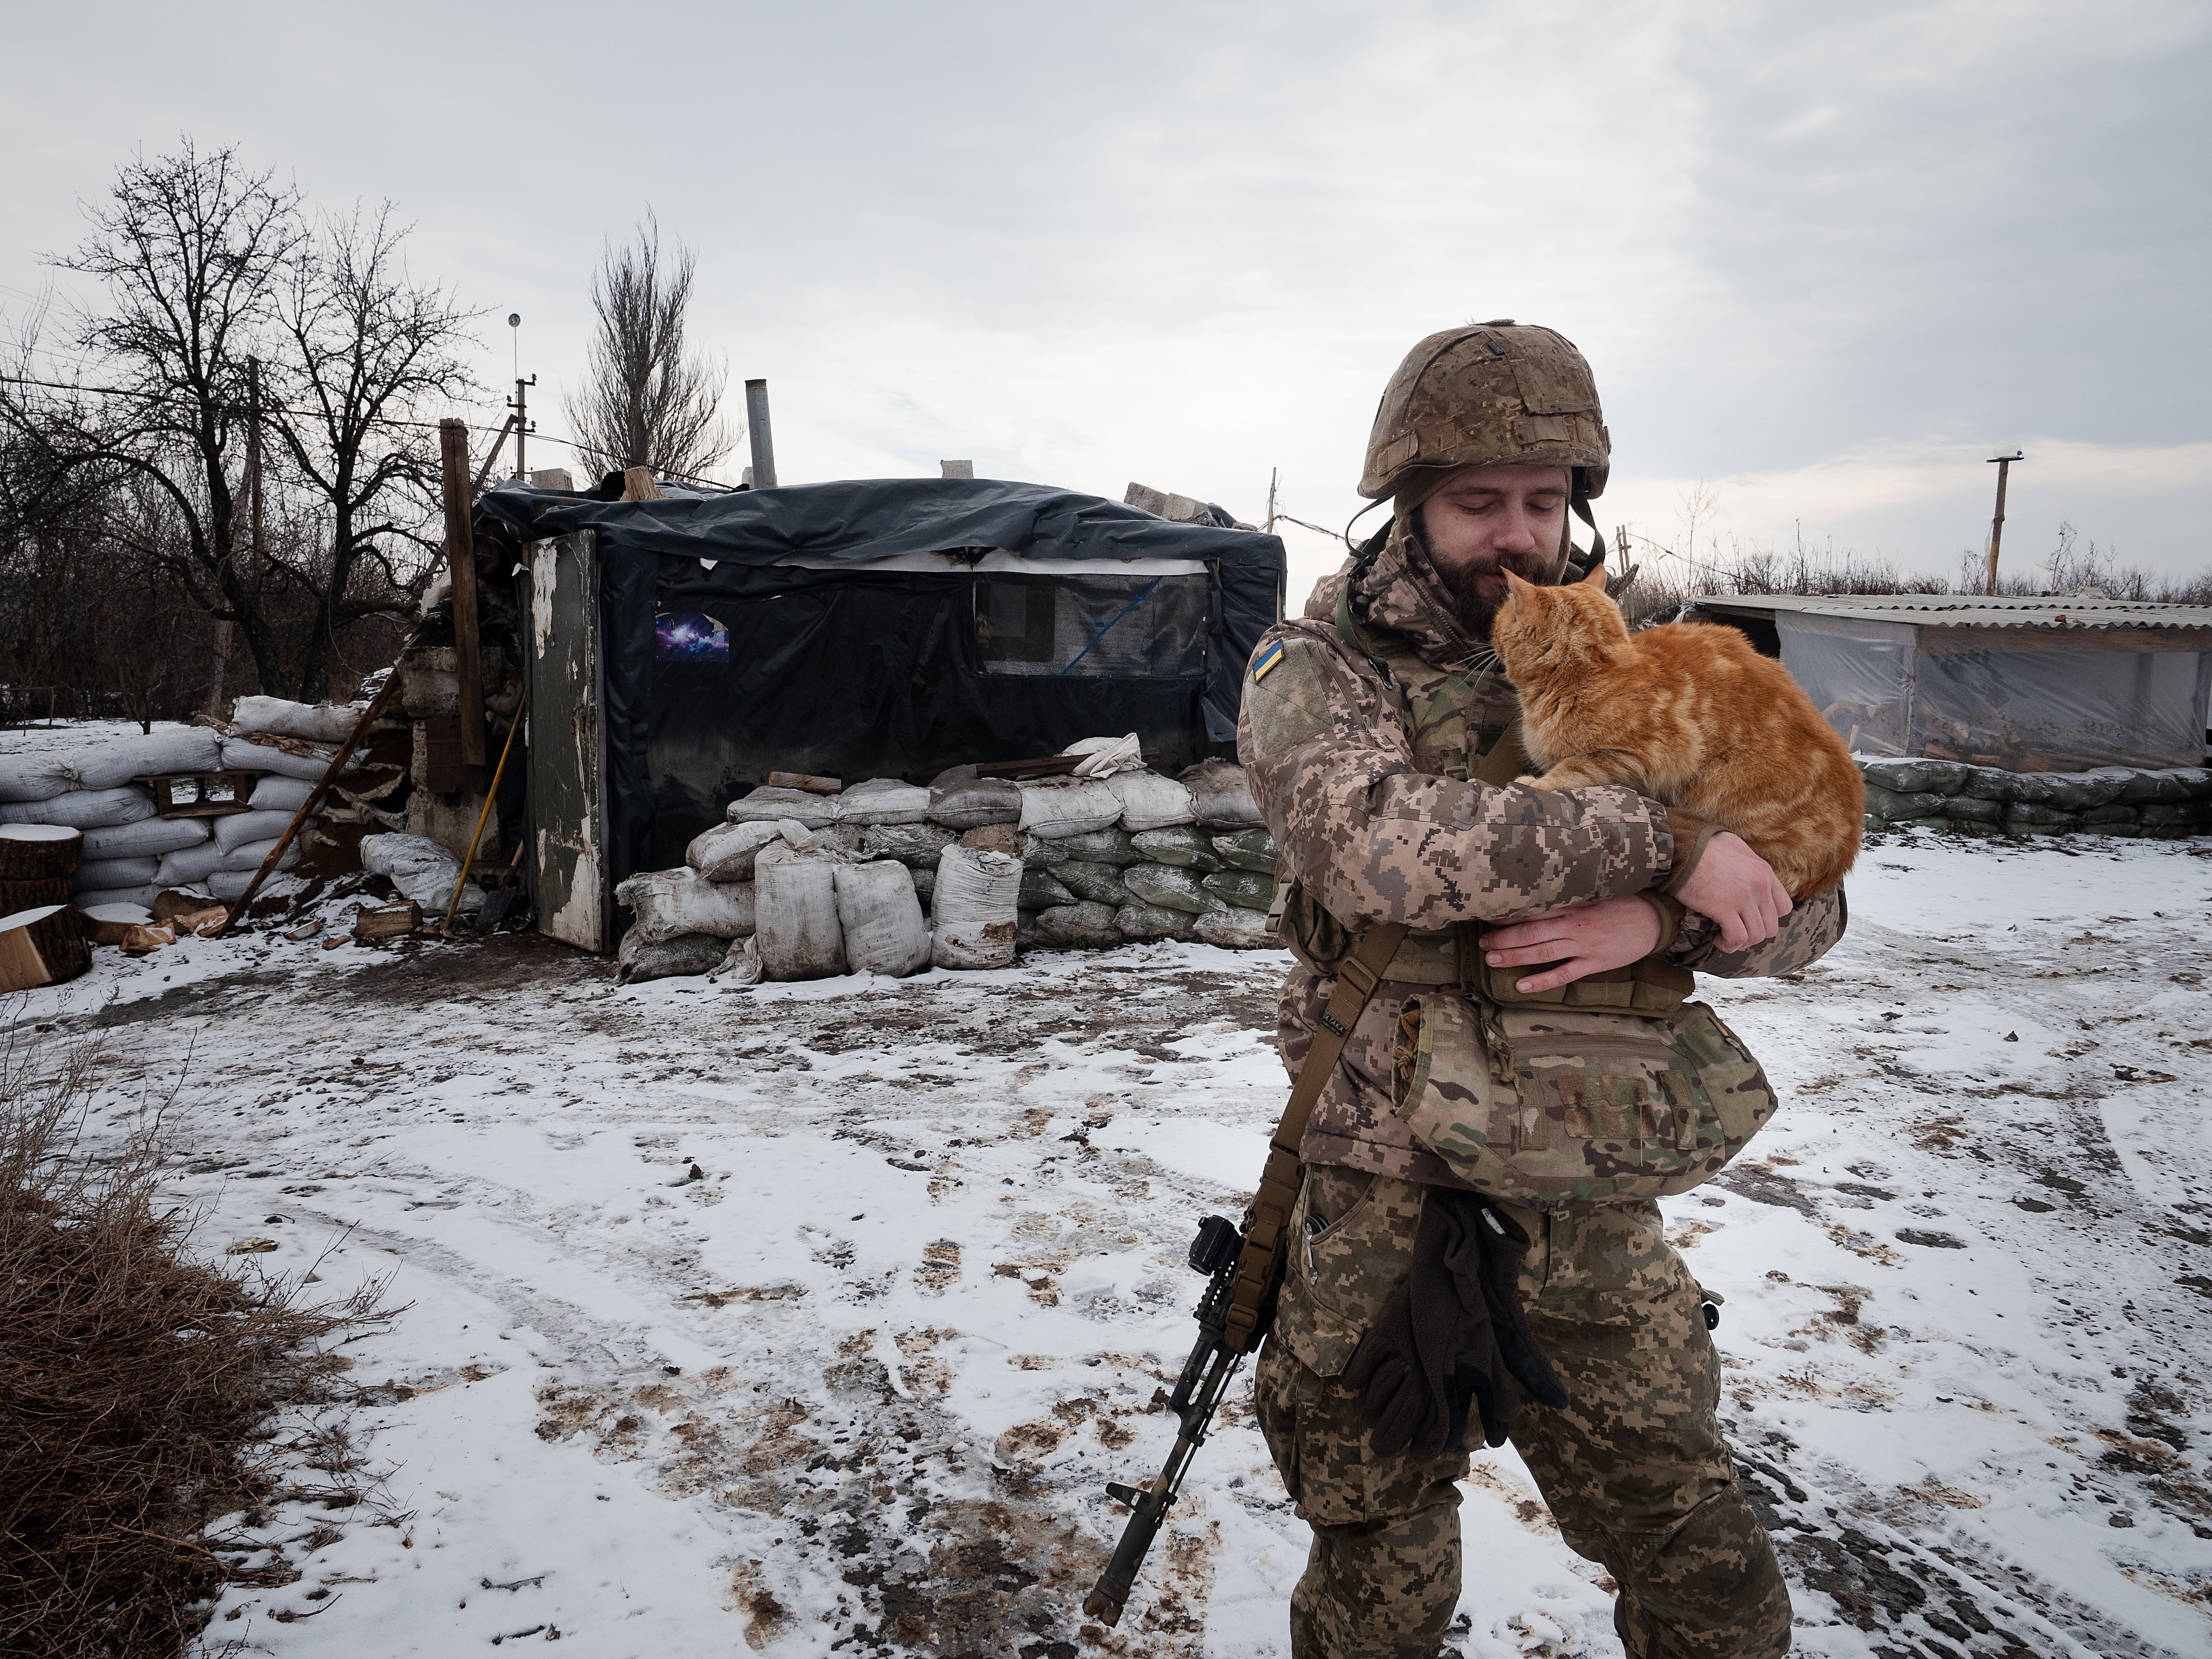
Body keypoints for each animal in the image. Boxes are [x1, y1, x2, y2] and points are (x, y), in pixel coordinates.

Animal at [1495, 566, 1858, 898]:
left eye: (1499, 620)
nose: (1491, 636)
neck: (1590, 672)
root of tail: (1843, 857)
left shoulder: (1647, 756)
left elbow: (1576, 767)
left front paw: (1537, 784)